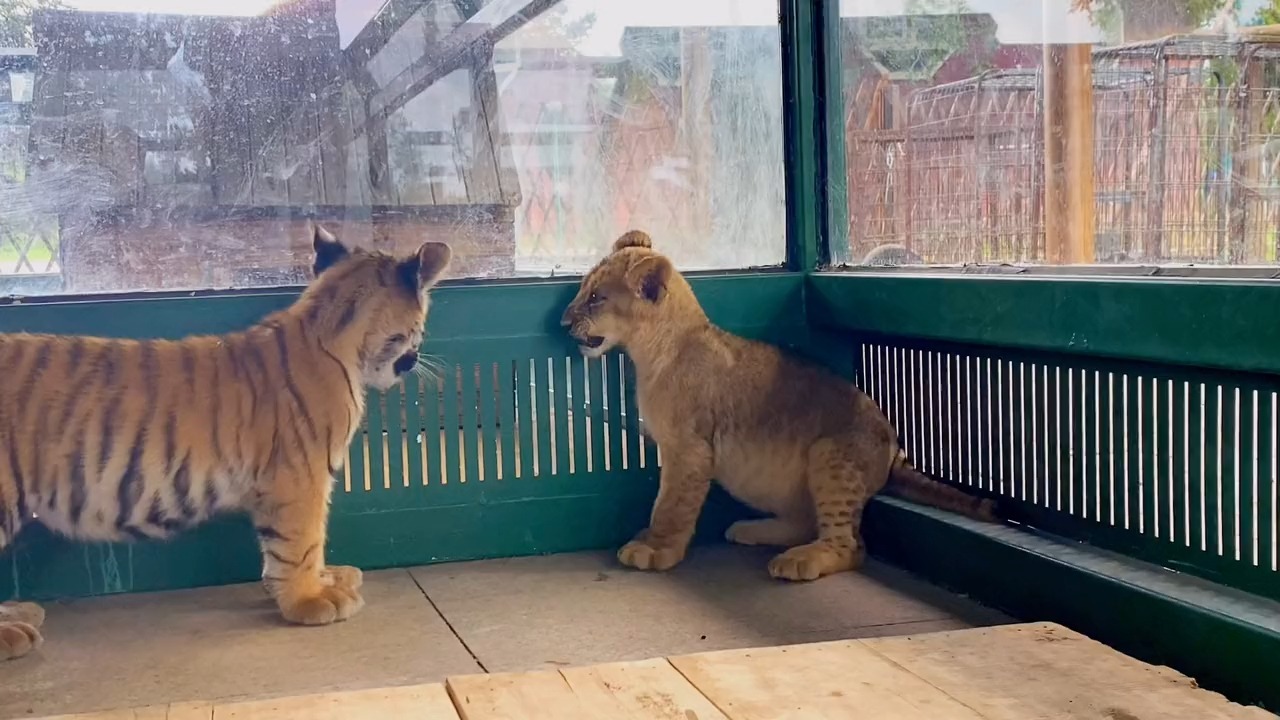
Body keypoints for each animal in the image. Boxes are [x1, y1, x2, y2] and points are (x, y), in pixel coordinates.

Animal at [0, 225, 452, 660]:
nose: (415, 360)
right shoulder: (300, 476)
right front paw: (310, 600)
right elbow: (304, 539)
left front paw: (324, 580)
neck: (331, 324)